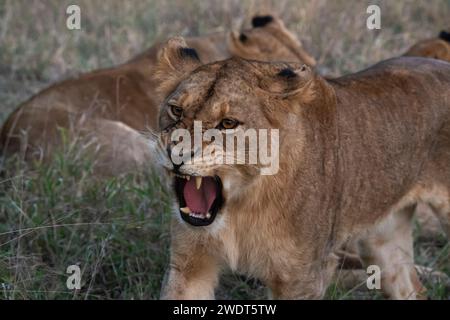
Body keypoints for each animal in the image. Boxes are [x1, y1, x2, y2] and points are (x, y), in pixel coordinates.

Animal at [153, 37, 448, 300]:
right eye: (176, 110)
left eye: (227, 123)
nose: (175, 154)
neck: (240, 209)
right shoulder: (190, 264)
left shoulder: (301, 277)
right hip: (383, 241)